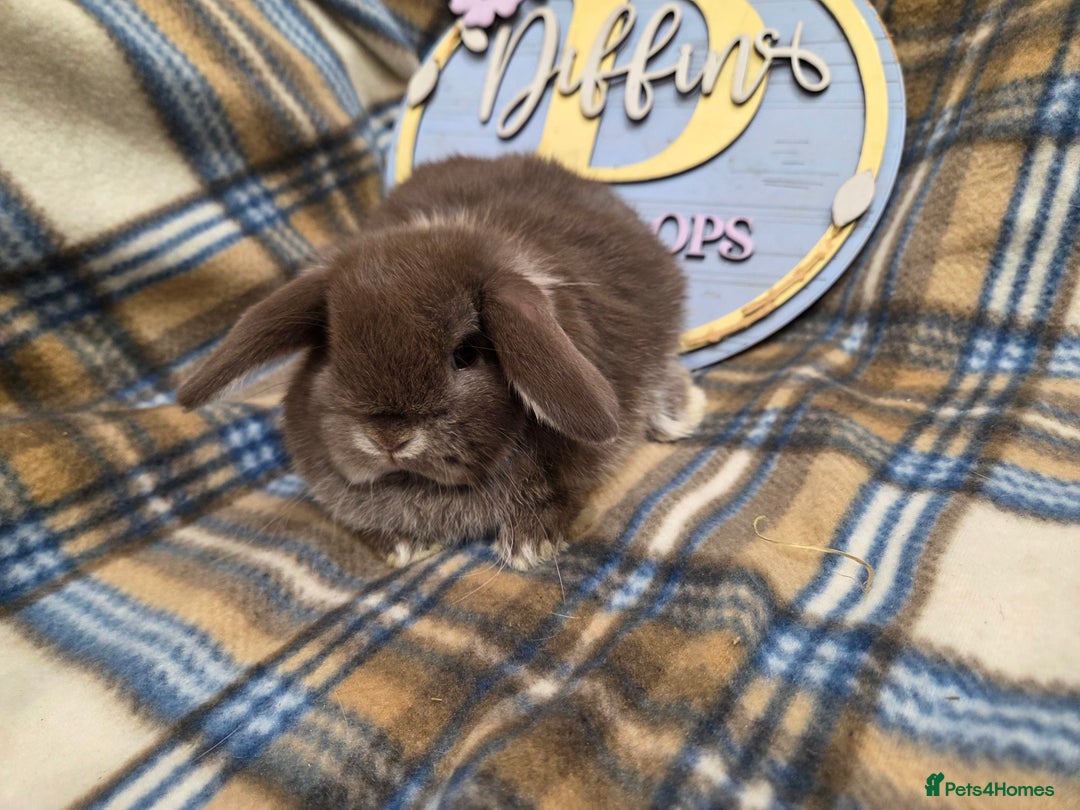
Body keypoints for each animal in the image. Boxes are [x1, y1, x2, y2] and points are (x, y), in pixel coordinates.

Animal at [178, 154, 706, 569]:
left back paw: (680, 414)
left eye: (465, 354)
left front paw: (528, 546)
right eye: (330, 351)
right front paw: (404, 547)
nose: (388, 438)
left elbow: (564, 496)